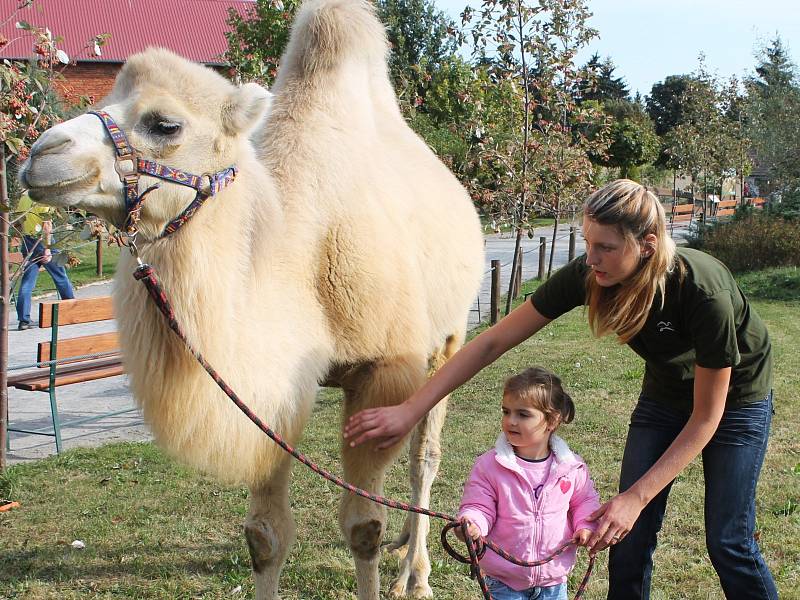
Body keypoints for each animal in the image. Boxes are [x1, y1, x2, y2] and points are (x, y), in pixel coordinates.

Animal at [20, 2, 482, 596]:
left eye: (164, 123)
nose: (41, 155)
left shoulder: (380, 369)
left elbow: (363, 527)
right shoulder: (270, 395)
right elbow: (265, 537)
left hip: (449, 336)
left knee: (424, 457)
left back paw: (416, 574)